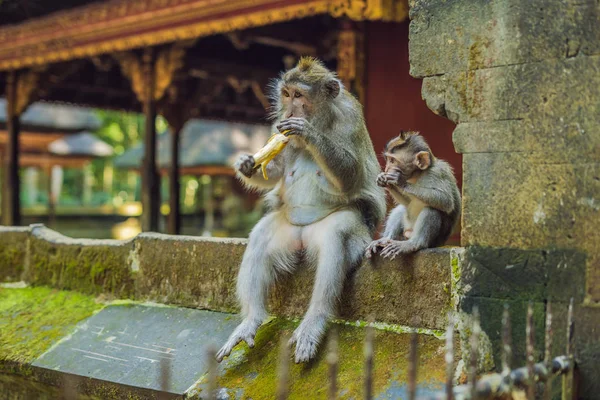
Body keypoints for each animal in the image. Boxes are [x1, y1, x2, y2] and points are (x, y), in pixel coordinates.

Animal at [216, 57, 384, 364]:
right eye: (286, 94)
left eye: (299, 95)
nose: (291, 110)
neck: (324, 117)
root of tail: (302, 239)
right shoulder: (277, 128)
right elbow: (276, 168)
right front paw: (247, 164)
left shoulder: (349, 118)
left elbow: (351, 176)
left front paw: (308, 133)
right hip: (287, 230)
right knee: (261, 236)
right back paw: (251, 319)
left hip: (339, 230)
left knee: (335, 237)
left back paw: (314, 321)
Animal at [366, 131, 460, 260]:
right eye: (388, 159)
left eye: (393, 161)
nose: (387, 168)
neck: (418, 174)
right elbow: (407, 202)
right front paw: (383, 180)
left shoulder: (437, 173)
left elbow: (445, 201)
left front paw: (399, 181)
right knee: (401, 208)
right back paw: (385, 239)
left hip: (434, 241)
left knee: (432, 208)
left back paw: (414, 244)